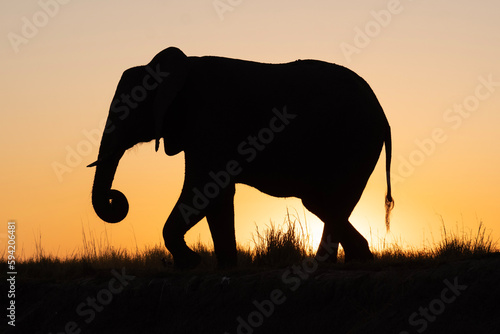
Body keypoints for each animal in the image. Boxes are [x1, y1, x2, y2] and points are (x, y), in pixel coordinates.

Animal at [89, 47, 394, 270]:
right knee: (321, 202)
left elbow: (205, 188)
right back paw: (357, 259)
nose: (116, 198)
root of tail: (383, 114)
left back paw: (325, 265)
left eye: (128, 109)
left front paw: (191, 263)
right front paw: (224, 268)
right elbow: (217, 194)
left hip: (355, 140)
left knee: (330, 200)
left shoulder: (211, 120)